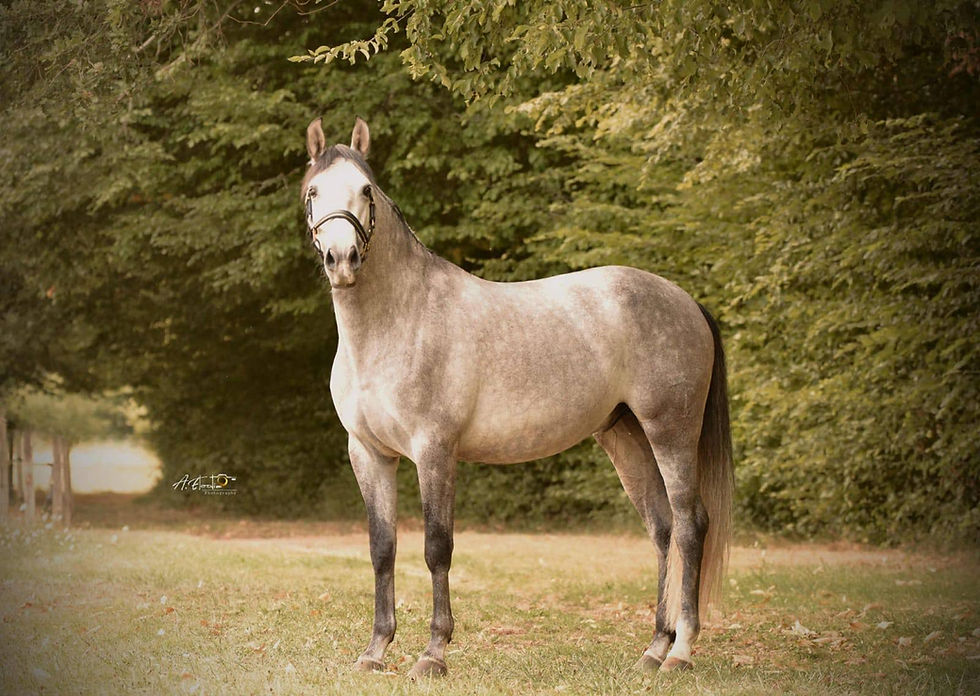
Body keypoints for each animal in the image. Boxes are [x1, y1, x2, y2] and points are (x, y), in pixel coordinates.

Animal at [301, 117, 734, 679]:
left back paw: (680, 652)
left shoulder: (434, 451)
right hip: (627, 437)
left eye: (366, 190)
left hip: (671, 431)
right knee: (661, 529)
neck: (397, 321)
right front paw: (375, 651)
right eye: (313, 192)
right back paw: (654, 647)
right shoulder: (369, 453)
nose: (342, 260)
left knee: (689, 525)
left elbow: (437, 547)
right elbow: (382, 548)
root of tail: (686, 301)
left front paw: (432, 654)